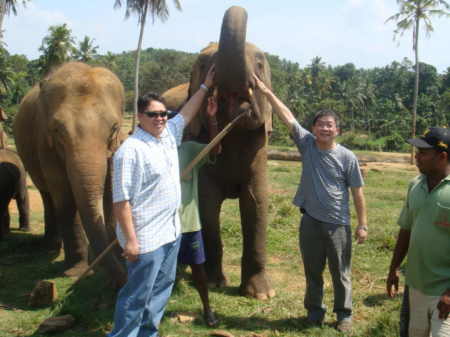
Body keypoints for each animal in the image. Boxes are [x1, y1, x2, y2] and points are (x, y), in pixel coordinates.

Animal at [13, 61, 126, 284]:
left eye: (114, 129)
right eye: (57, 130)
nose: (122, 281)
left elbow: (112, 190)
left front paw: (120, 257)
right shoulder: (44, 141)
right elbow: (63, 193)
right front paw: (75, 272)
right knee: (47, 194)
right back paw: (50, 247)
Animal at [163, 5, 272, 300]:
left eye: (260, 64)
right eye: (202, 64)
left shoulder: (259, 148)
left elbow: (256, 203)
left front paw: (260, 295)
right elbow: (207, 204)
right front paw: (214, 284)